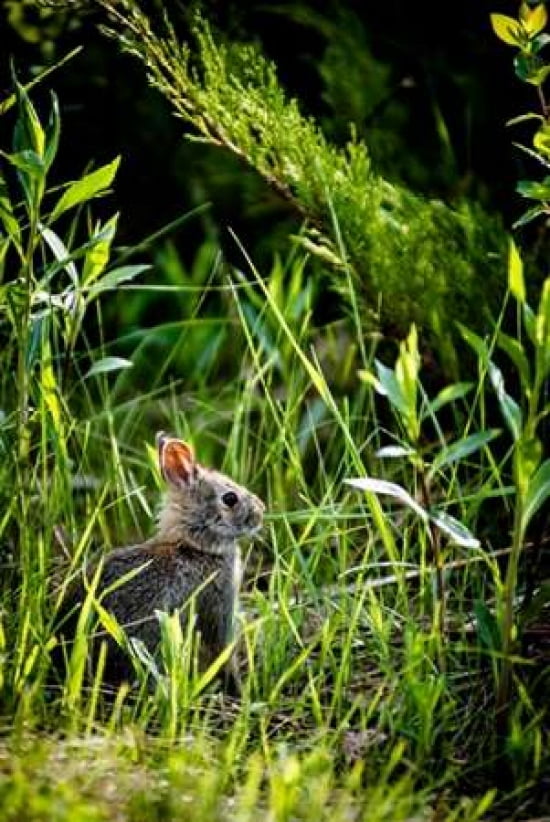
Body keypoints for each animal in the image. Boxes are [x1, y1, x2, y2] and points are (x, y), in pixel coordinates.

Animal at [54, 432, 265, 695]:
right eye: (230, 498)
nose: (261, 511)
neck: (196, 547)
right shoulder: (219, 609)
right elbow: (223, 653)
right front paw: (239, 691)